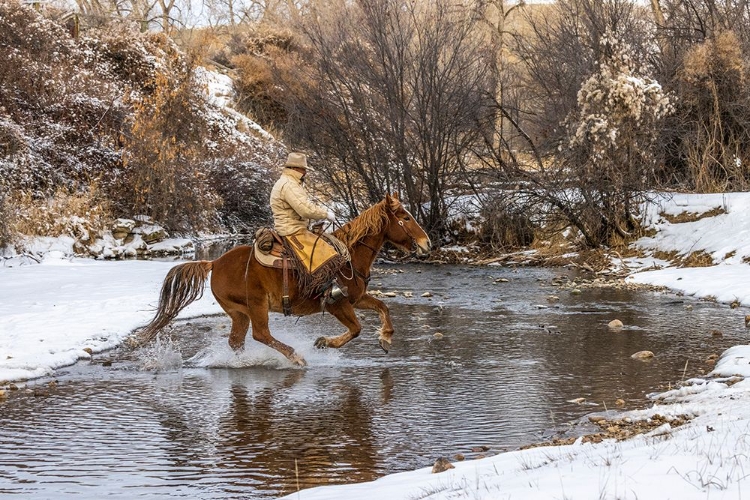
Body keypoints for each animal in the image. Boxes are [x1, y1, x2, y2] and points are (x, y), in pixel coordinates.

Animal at [134, 192, 428, 368]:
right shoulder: (338, 303)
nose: (426, 243)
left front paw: (386, 339)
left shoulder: (357, 299)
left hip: (239, 312)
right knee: (261, 334)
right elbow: (356, 329)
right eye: (405, 217)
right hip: (257, 305)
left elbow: (383, 307)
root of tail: (214, 263)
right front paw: (323, 342)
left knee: (238, 341)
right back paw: (296, 357)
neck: (349, 256)